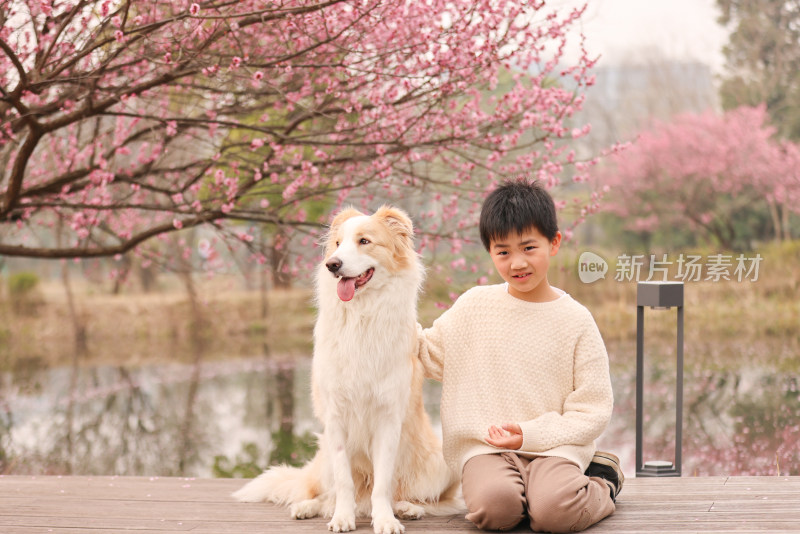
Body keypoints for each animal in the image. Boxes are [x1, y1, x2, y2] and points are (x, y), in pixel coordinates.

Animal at [233, 207, 456, 532]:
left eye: (364, 241)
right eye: (337, 244)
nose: (332, 265)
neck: (361, 316)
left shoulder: (387, 419)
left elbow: (383, 484)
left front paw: (385, 519)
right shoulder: (336, 419)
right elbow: (343, 482)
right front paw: (342, 517)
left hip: (440, 464)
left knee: (416, 496)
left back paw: (406, 508)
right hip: (324, 453)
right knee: (323, 494)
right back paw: (308, 507)